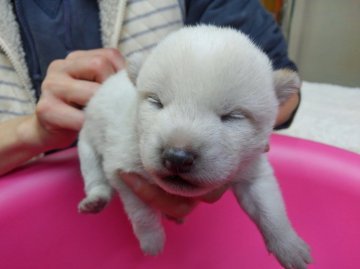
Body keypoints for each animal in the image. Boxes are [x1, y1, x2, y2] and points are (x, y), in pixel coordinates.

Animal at [78, 25, 312, 268]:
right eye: (156, 101)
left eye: (233, 116)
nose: (177, 157)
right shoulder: (123, 171)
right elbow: (142, 211)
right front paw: (152, 241)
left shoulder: (251, 169)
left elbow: (269, 206)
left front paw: (289, 246)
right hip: (86, 143)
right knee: (94, 174)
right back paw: (96, 200)